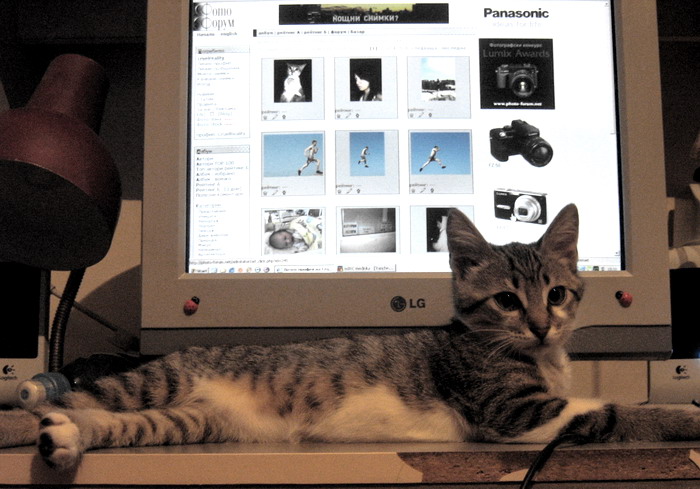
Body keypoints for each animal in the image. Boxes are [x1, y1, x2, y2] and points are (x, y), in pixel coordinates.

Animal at [2, 204, 700, 472]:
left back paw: (66, 440)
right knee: (53, 402)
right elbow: (613, 412)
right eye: (506, 300)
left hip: (190, 421)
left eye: (556, 293)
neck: (537, 356)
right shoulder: (509, 410)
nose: (540, 323)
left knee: (90, 419)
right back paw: (31, 419)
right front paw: (682, 417)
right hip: (154, 380)